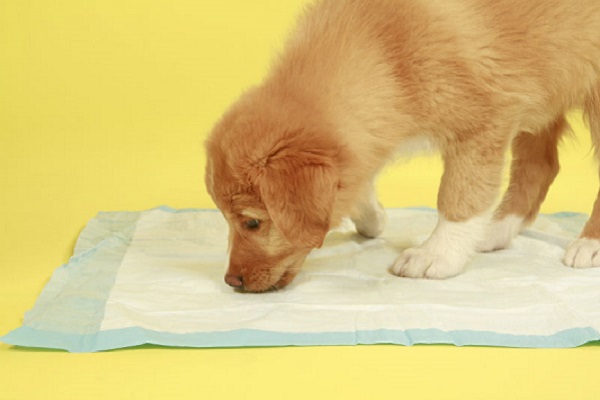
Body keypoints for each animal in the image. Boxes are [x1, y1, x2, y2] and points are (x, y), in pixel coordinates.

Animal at [205, 0, 600, 294]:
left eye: (253, 222)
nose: (231, 281)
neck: (383, 50)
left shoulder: (483, 124)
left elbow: (458, 198)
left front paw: (437, 256)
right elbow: (358, 174)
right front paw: (372, 218)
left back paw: (589, 244)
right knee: (540, 166)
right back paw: (496, 231)